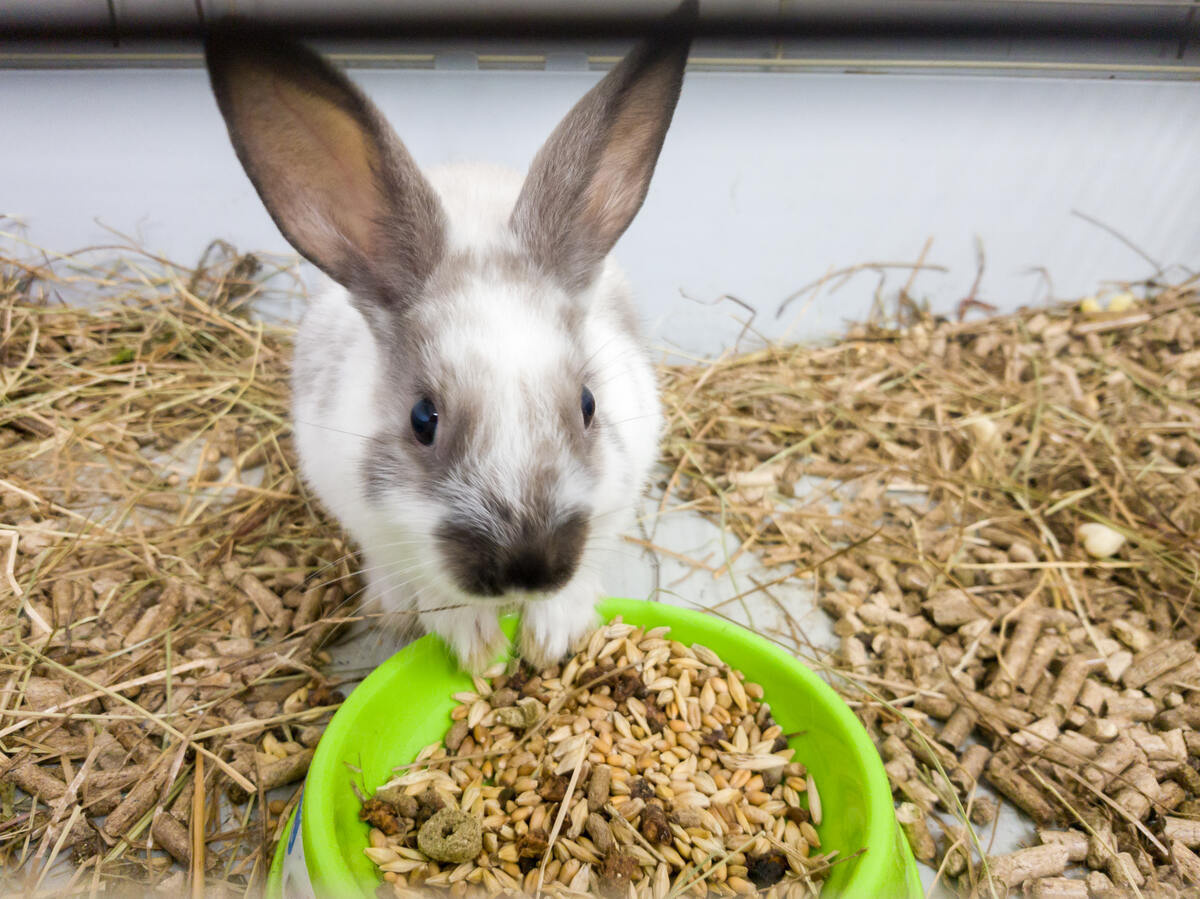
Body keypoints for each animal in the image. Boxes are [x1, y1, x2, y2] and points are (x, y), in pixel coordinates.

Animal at [206, 14, 696, 672]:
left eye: (589, 405)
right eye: (422, 419)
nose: (527, 569)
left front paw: (551, 634)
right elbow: (434, 590)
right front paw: (480, 647)